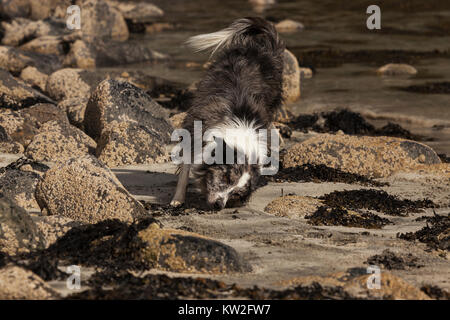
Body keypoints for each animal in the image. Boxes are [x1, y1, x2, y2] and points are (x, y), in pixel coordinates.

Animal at [171, 16, 286, 210]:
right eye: (226, 177)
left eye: (236, 193)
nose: (219, 204)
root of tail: (264, 48)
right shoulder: (193, 132)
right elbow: (185, 168)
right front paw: (178, 199)